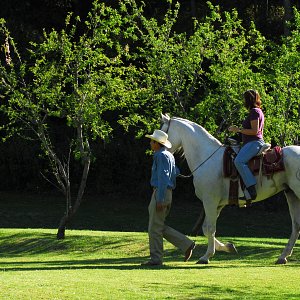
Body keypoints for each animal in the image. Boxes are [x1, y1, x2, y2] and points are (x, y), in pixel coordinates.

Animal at [162, 113, 300, 264]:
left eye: (164, 131)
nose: (157, 150)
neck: (207, 157)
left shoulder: (210, 201)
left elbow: (210, 228)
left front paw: (206, 256)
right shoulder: (217, 204)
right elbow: (206, 228)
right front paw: (228, 247)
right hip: (291, 194)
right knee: (296, 226)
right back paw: (283, 256)